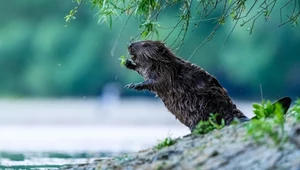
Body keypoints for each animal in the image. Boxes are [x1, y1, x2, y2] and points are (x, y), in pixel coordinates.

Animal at [123, 40, 290, 131]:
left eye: (145, 44)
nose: (130, 45)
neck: (166, 63)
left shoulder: (166, 72)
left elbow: (156, 82)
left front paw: (134, 85)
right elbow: (142, 70)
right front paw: (128, 63)